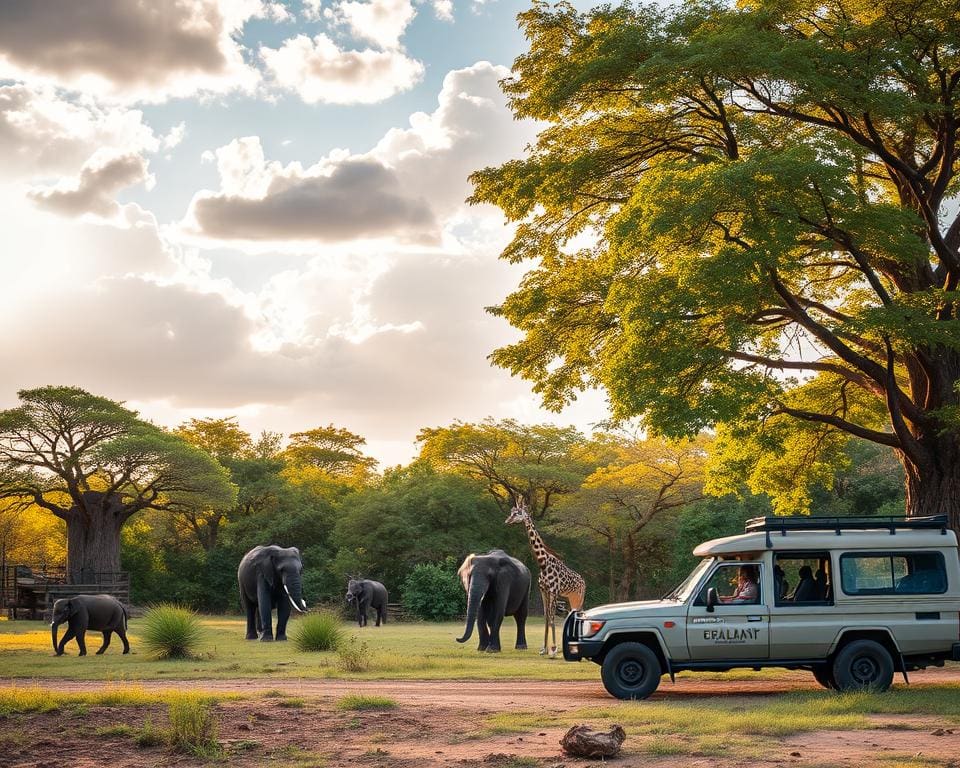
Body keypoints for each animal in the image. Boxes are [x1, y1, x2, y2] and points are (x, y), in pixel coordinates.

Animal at [502, 500, 584, 656]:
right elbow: (546, 617)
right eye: (511, 512)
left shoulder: (553, 591)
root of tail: (583, 581)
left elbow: (552, 617)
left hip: (579, 596)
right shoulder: (543, 590)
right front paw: (544, 649)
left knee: (579, 614)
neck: (543, 563)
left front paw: (554, 649)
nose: (507, 521)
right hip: (569, 597)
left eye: (518, 513)